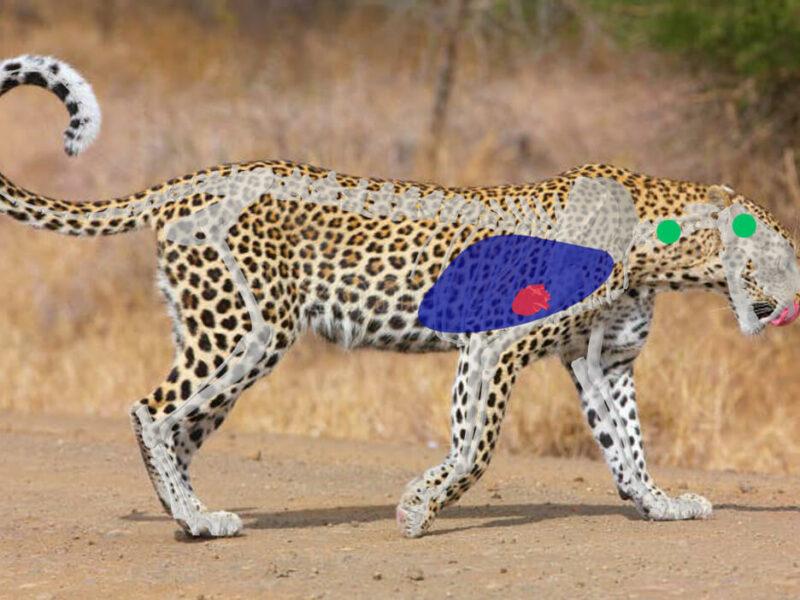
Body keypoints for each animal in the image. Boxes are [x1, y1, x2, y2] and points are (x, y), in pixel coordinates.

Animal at [2, 54, 798, 539]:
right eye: (776, 252)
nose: (790, 303)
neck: (658, 248)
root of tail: (200, 176)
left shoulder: (603, 362)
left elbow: (626, 445)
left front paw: (662, 504)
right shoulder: (496, 344)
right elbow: (476, 446)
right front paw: (420, 507)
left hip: (220, 337)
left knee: (182, 428)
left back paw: (193, 516)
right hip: (243, 332)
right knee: (152, 412)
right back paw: (195, 520)